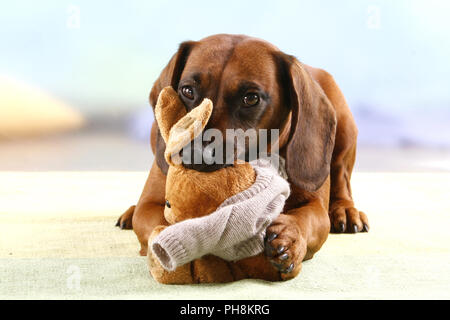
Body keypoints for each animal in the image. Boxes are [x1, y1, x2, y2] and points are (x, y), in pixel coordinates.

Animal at [117, 33, 370, 282]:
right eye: (187, 91)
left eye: (251, 98)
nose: (195, 154)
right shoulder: (150, 204)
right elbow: (157, 219)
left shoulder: (315, 205)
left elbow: (309, 219)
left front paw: (291, 238)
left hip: (344, 127)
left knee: (342, 178)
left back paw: (345, 209)